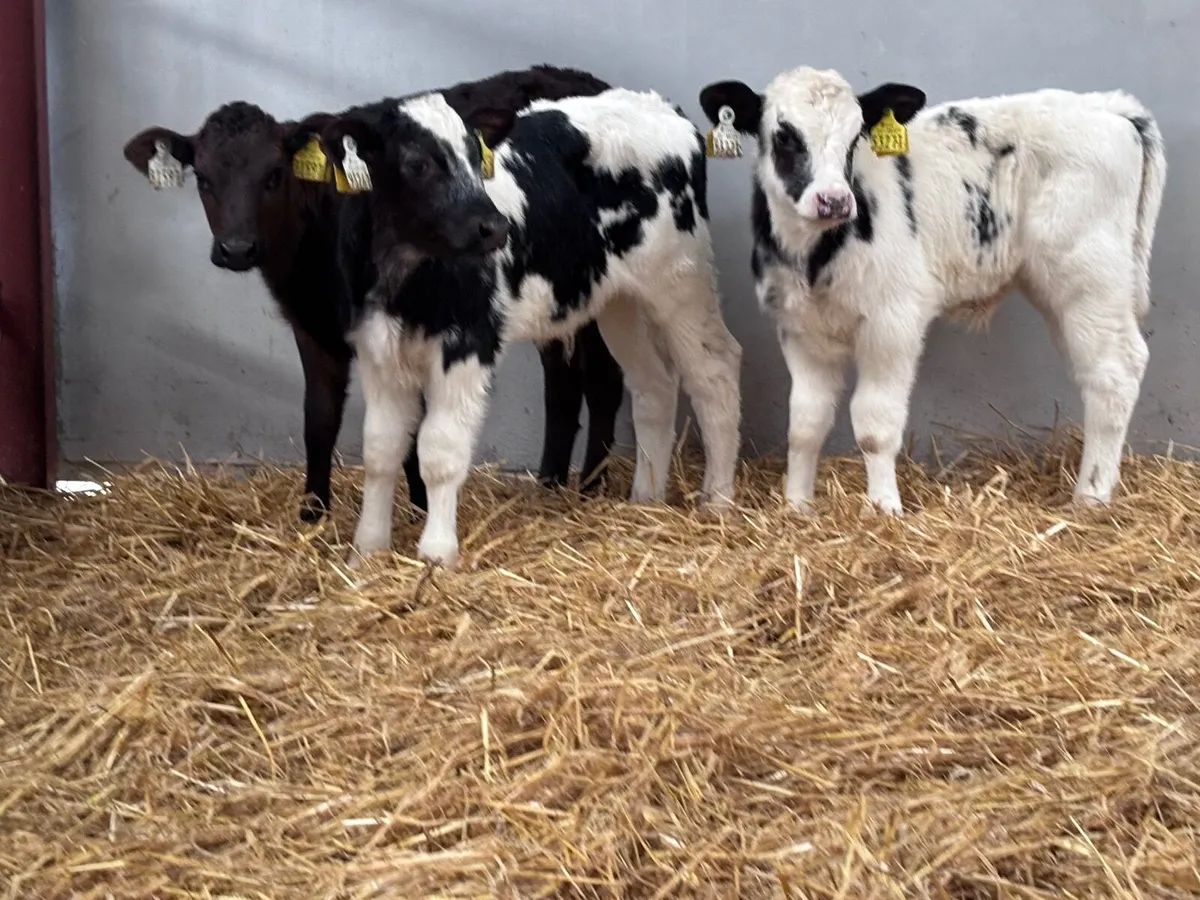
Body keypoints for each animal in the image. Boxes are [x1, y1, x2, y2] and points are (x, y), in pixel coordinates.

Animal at [122, 65, 625, 525]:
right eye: (203, 178)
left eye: (273, 175)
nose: (237, 248)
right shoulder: (312, 326)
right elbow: (319, 418)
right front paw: (313, 512)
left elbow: (414, 429)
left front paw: (420, 506)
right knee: (562, 384)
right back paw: (549, 485)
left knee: (603, 382)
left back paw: (591, 488)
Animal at [297, 86, 744, 567]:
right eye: (416, 163)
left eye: (476, 156)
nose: (494, 228)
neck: (406, 278)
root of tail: (659, 105)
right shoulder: (378, 349)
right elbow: (381, 449)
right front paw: (367, 550)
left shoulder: (468, 344)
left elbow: (439, 451)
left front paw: (436, 554)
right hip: (618, 299)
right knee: (654, 386)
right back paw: (646, 499)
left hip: (680, 280)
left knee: (715, 370)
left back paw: (718, 499)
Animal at [699, 66, 1166, 514]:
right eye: (784, 136)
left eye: (855, 139)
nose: (834, 200)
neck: (813, 258)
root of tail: (1107, 105)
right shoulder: (799, 327)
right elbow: (805, 424)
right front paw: (797, 505)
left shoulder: (893, 322)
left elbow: (874, 425)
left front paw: (883, 508)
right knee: (1093, 372)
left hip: (1091, 277)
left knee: (1115, 372)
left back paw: (1091, 496)